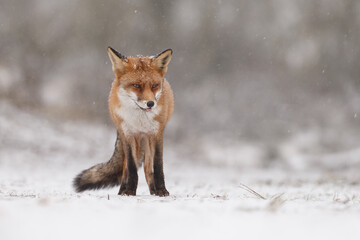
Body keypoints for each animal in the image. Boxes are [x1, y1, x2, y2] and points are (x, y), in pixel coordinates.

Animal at [72, 47, 174, 197]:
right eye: (136, 85)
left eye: (155, 85)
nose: (150, 103)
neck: (139, 120)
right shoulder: (128, 134)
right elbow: (131, 168)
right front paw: (129, 191)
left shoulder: (157, 134)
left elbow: (157, 166)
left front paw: (162, 190)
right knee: (126, 168)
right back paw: (122, 190)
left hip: (147, 140)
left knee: (147, 168)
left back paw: (153, 190)